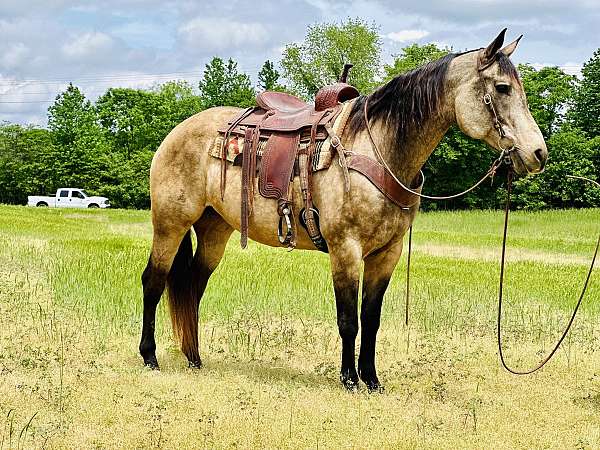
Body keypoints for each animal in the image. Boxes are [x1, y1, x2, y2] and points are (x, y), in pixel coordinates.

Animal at [139, 30, 548, 390]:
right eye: (502, 88)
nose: (538, 153)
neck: (378, 149)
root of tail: (177, 132)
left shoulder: (387, 253)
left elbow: (372, 318)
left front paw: (372, 379)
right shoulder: (345, 249)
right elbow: (349, 319)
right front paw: (350, 379)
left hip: (214, 229)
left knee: (192, 286)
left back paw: (194, 358)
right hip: (170, 224)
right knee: (154, 280)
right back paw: (150, 357)